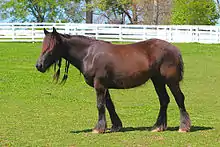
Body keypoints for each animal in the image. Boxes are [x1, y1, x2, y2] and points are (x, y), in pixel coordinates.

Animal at [36, 27, 191, 133]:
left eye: (52, 47)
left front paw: (98, 128)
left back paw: (184, 126)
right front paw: (116, 126)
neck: (89, 54)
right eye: (43, 46)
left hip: (170, 81)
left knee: (179, 98)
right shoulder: (104, 86)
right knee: (164, 100)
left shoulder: (99, 85)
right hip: (157, 80)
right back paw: (158, 126)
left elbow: (100, 105)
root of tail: (175, 49)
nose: (39, 65)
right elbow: (109, 105)